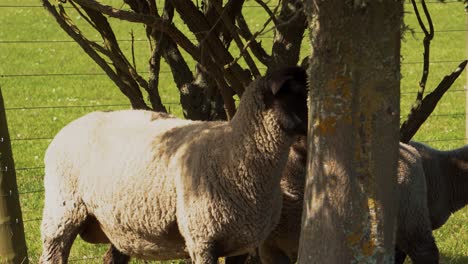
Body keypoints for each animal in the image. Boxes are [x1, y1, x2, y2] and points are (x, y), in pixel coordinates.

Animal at [39, 66, 308, 264]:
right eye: (295, 95)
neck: (235, 152)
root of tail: (71, 124)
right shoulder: (202, 239)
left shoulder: (242, 243)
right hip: (61, 211)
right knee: (52, 254)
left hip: (117, 224)